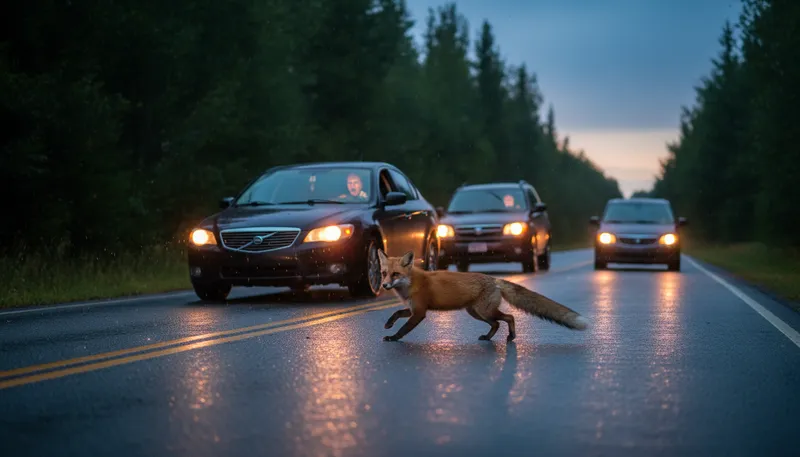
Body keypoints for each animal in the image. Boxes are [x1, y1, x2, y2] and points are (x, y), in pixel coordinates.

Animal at [377, 249, 589, 342]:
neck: (411, 284)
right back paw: (488, 338)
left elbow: (404, 328)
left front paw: (393, 337)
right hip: (475, 312)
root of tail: (494, 279)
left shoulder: (420, 312)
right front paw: (388, 324)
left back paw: (511, 337)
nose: (384, 285)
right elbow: (397, 313)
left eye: (395, 274)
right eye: (384, 273)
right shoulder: (412, 308)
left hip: (484, 311)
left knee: (509, 317)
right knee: (496, 324)